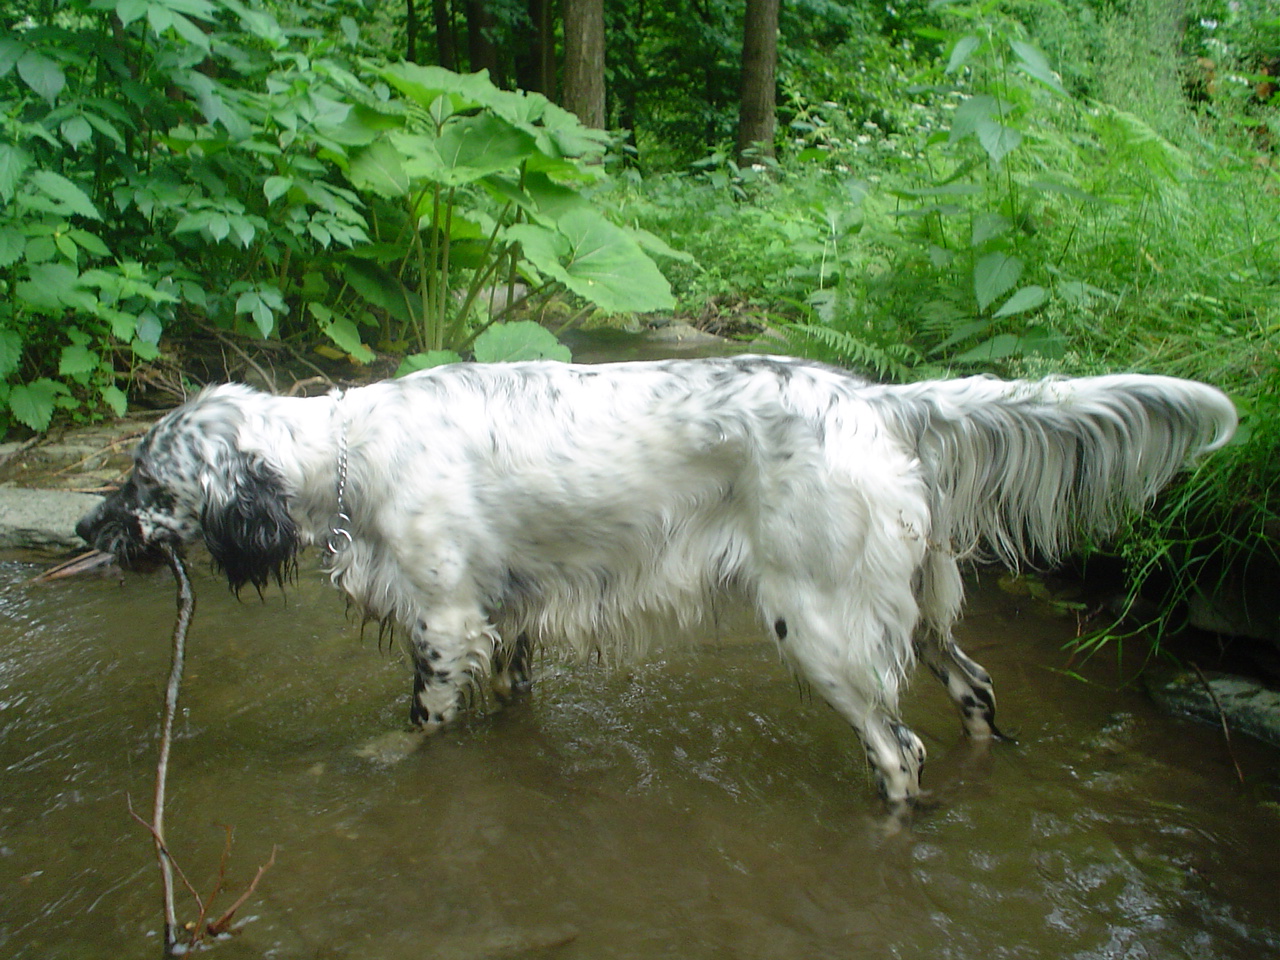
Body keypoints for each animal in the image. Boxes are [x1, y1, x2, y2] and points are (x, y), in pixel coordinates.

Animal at [74, 358, 1233, 808]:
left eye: (147, 482)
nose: (87, 526)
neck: (347, 454)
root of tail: (875, 401)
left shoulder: (444, 625)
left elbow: (416, 725)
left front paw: (373, 763)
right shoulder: (507, 620)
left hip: (821, 627)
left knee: (897, 752)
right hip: (915, 609)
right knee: (975, 691)